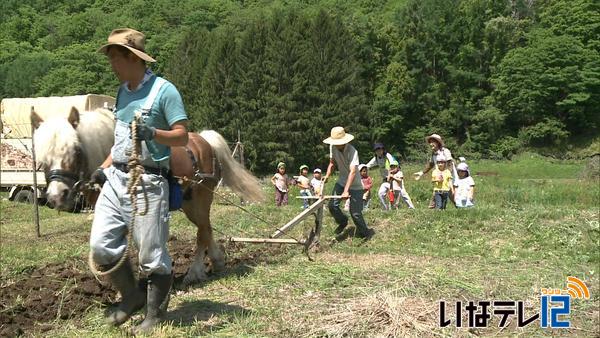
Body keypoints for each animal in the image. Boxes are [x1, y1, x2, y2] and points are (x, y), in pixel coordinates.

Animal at [31, 107, 264, 286]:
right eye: (42, 158)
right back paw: (217, 261)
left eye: (76, 151)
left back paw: (194, 272)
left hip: (201, 198)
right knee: (205, 229)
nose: (57, 196)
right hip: (189, 201)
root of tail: (204, 141)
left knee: (203, 232)